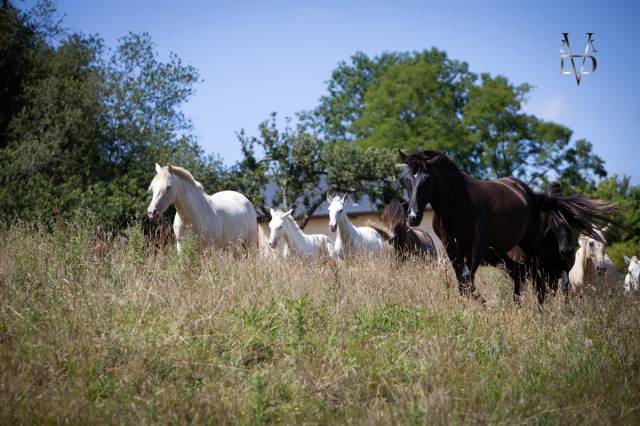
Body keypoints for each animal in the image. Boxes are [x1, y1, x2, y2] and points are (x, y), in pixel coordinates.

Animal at [400, 150, 615, 303]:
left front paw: (484, 305)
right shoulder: (452, 248)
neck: (457, 204)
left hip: (528, 249)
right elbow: (463, 281)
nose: (413, 216)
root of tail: (529, 193)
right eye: (406, 180)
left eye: (427, 179)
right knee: (522, 277)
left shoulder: (477, 248)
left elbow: (467, 279)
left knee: (539, 281)